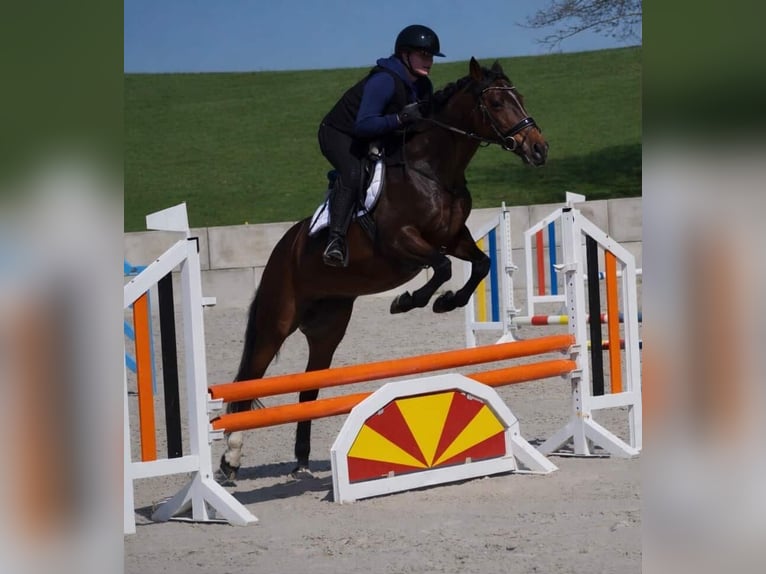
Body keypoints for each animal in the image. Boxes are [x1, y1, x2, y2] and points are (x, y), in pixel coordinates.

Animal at [218, 57, 548, 480]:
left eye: (518, 96)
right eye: (495, 102)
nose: (539, 148)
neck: (432, 169)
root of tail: (281, 249)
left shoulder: (454, 238)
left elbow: (481, 263)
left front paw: (447, 302)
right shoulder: (401, 242)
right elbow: (441, 267)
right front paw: (408, 301)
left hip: (327, 328)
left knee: (309, 388)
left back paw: (301, 463)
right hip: (276, 321)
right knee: (248, 381)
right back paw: (230, 460)